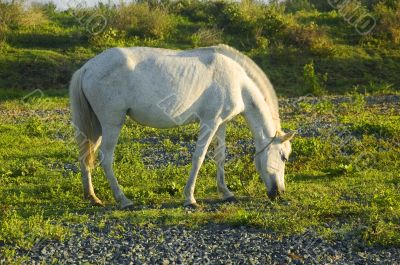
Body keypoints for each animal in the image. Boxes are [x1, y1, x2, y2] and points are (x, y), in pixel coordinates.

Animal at [69, 43, 294, 208]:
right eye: (283, 157)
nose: (280, 193)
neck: (237, 81)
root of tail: (87, 67)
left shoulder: (221, 124)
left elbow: (220, 156)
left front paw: (226, 192)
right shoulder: (209, 122)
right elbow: (199, 158)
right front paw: (190, 198)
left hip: (96, 127)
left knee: (85, 157)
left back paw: (92, 197)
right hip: (112, 123)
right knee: (106, 159)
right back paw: (123, 200)